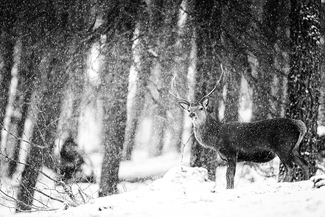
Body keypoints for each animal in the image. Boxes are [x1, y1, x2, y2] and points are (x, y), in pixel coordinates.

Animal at [173, 71, 308, 188]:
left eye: (201, 108)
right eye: (189, 109)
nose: (192, 115)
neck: (216, 140)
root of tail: (300, 125)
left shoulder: (232, 152)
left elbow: (229, 176)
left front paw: (229, 189)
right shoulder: (229, 157)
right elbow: (229, 176)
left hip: (283, 146)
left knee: (291, 168)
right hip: (294, 148)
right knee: (304, 164)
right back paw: (307, 181)